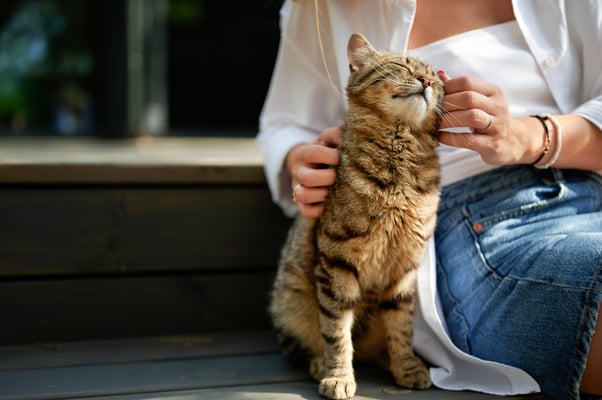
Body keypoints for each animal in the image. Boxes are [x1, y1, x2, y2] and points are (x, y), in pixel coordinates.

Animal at [270, 32, 442, 400]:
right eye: (403, 66)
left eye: (435, 80)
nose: (425, 81)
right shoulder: (338, 263)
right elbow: (336, 332)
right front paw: (338, 376)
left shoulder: (404, 269)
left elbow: (401, 329)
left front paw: (407, 367)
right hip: (290, 300)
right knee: (307, 342)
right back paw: (319, 363)